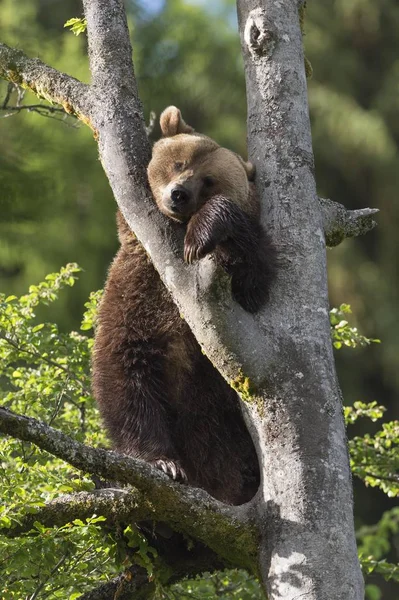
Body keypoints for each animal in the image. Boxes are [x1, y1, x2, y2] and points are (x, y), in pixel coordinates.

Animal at [92, 109, 276, 506]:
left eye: (209, 181)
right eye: (179, 162)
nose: (178, 194)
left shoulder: (240, 288)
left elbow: (255, 277)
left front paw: (203, 231)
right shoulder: (137, 291)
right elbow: (125, 373)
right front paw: (163, 462)